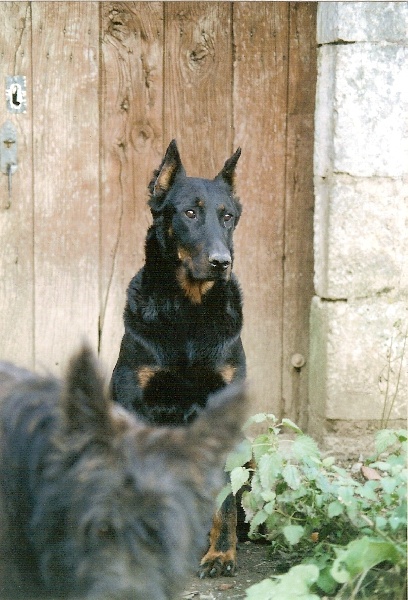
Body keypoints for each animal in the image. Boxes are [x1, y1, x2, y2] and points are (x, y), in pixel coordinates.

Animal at [111, 139, 245, 576]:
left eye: (227, 216)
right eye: (189, 212)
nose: (222, 262)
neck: (189, 311)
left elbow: (225, 497)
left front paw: (221, 554)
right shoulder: (135, 404)